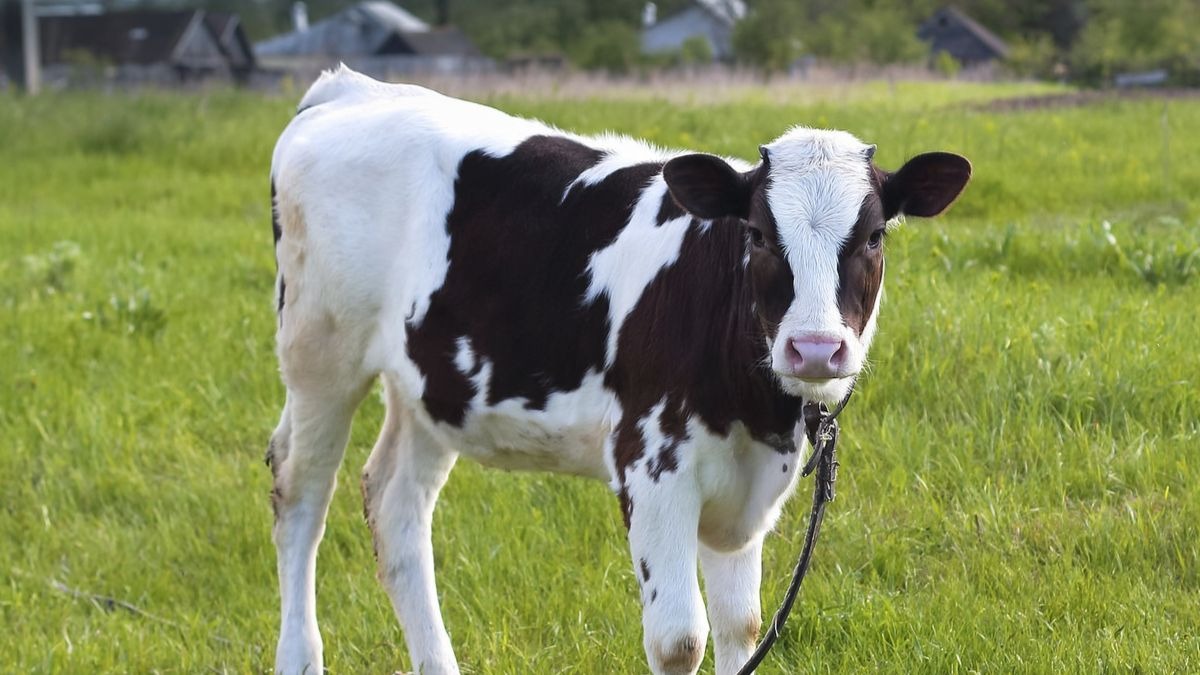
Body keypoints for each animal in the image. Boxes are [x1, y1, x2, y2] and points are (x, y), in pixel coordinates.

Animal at [266, 65, 971, 675]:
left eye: (875, 236)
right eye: (759, 235)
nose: (816, 349)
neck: (756, 411)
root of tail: (350, 90)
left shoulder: (746, 491)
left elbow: (741, 625)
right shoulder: (651, 463)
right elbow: (680, 639)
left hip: (431, 388)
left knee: (395, 508)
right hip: (320, 353)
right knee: (300, 496)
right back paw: (299, 656)